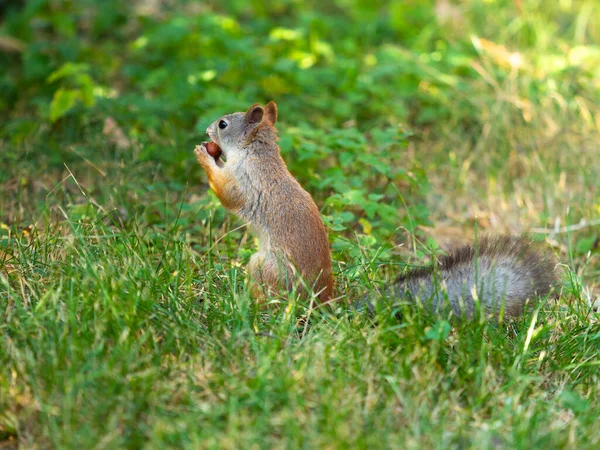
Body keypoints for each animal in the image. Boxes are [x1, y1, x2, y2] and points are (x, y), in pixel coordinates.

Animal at [195, 102, 560, 318]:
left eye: (223, 124)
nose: (207, 130)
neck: (256, 153)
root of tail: (323, 303)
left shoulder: (246, 180)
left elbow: (228, 194)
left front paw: (204, 156)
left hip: (264, 267)